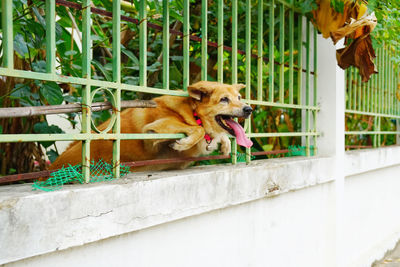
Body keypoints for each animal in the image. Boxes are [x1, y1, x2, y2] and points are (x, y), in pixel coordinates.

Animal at [48, 81, 252, 172]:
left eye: (239, 98)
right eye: (224, 100)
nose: (249, 109)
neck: (194, 114)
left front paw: (224, 142)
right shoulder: (153, 130)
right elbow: (199, 130)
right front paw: (184, 143)